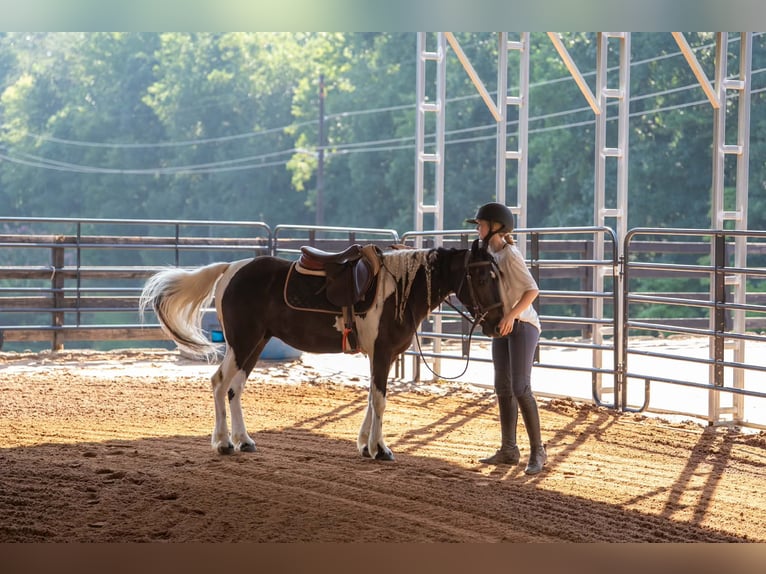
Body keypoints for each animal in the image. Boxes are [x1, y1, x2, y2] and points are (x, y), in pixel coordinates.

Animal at [139, 239, 504, 460]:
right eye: (483, 277)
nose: (498, 321)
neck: (400, 289)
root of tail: (230, 269)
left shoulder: (379, 356)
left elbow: (371, 399)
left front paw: (365, 446)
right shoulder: (383, 353)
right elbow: (380, 400)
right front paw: (380, 449)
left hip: (255, 344)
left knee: (234, 388)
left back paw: (244, 440)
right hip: (242, 342)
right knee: (218, 383)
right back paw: (225, 443)